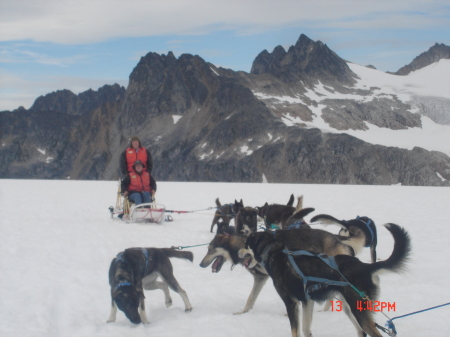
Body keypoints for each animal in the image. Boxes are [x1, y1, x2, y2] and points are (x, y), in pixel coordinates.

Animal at [241, 223, 410, 336]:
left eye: (245, 244)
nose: (239, 252)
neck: (274, 253)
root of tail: (366, 266)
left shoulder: (291, 302)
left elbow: (295, 331)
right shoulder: (307, 301)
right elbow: (306, 329)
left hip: (358, 310)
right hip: (349, 308)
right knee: (361, 332)